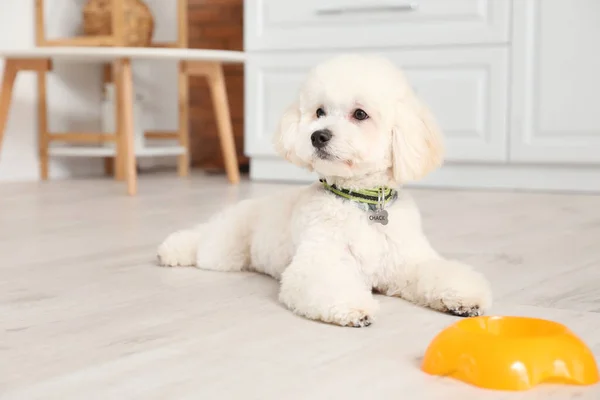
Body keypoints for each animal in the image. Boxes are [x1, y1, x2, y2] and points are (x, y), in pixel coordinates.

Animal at [158, 54, 492, 328]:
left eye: (360, 114)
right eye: (319, 112)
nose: (318, 135)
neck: (361, 203)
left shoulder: (407, 262)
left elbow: (438, 272)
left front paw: (464, 298)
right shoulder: (319, 262)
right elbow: (330, 284)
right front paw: (354, 308)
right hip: (224, 250)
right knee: (199, 242)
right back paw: (172, 250)